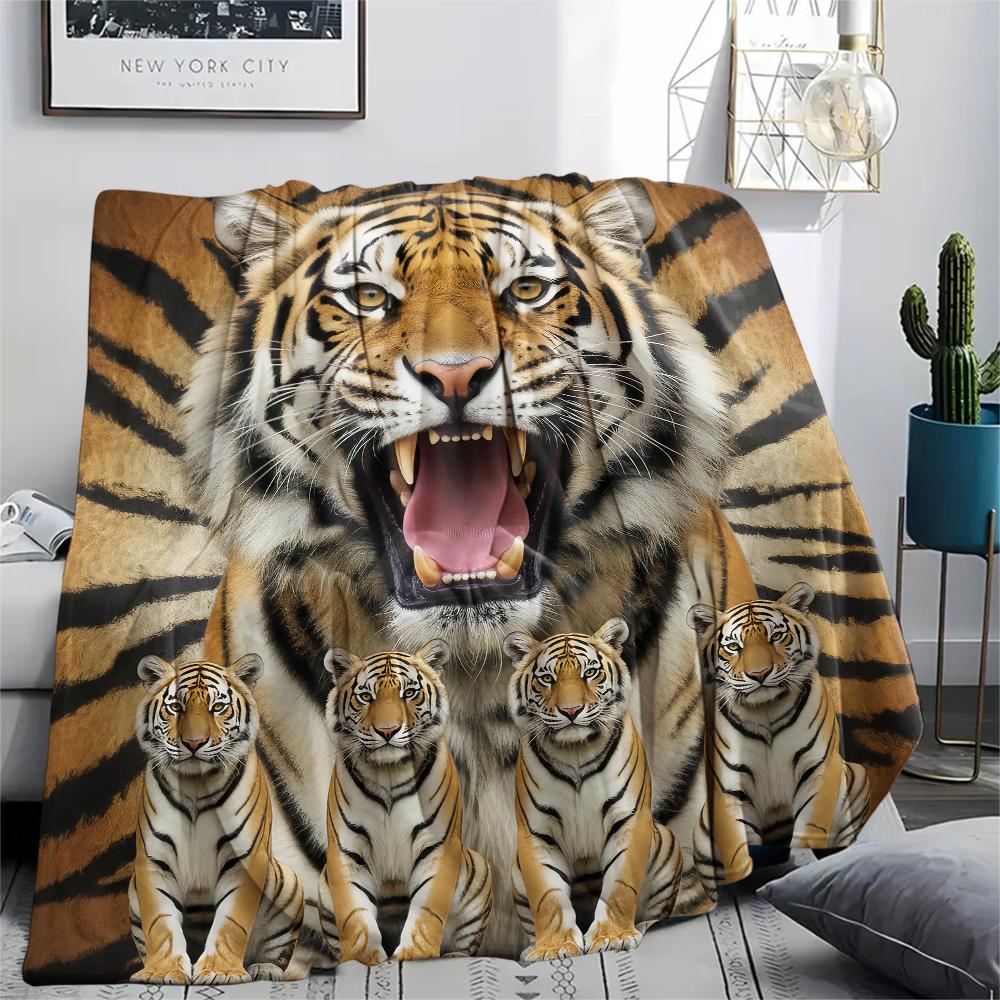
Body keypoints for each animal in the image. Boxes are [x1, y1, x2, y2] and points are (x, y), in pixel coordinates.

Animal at [128, 654, 304, 985]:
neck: (196, 785)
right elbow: (160, 923)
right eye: (176, 707)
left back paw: (264, 968)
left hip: (288, 883)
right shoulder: (154, 864)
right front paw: (162, 971)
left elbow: (231, 922)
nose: (193, 743)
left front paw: (220, 971)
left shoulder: (245, 861)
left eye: (218, 707)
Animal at [317, 640, 493, 964]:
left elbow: (427, 910)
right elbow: (355, 915)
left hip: (479, 868)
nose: (387, 731)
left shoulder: (437, 846)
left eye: (409, 693)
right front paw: (364, 959)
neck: (389, 772)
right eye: (366, 696)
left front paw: (414, 955)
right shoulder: (348, 853)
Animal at [504, 619, 683, 961]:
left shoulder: (629, 820)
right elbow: (547, 895)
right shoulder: (536, 833)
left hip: (667, 842)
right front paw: (553, 947)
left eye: (590, 672)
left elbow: (620, 884)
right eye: (547, 678)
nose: (571, 711)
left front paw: (613, 937)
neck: (576, 751)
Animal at [686, 583, 871, 896]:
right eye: (733, 646)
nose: (759, 674)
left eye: (775, 636)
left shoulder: (817, 770)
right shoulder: (731, 786)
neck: (766, 711)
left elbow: (809, 826)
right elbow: (741, 837)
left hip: (857, 775)